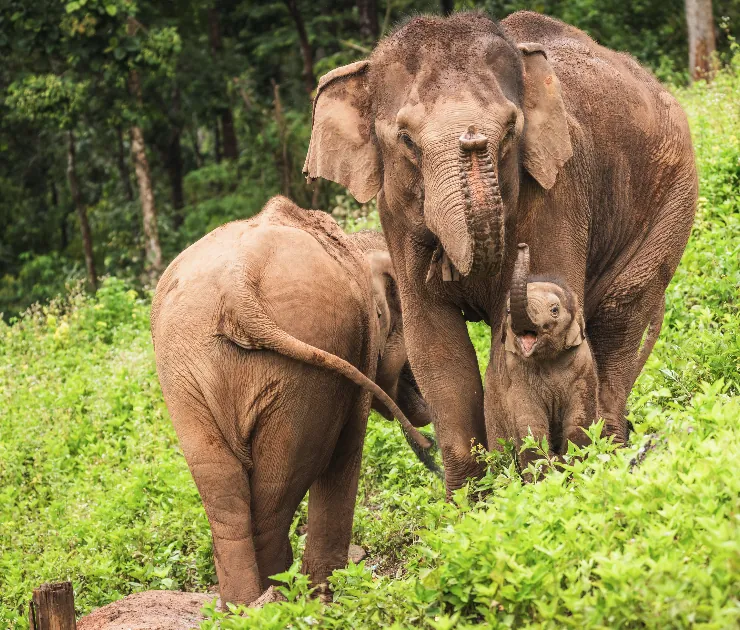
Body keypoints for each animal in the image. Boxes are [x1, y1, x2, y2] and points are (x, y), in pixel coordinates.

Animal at [150, 196, 436, 606]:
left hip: (183, 368)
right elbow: (347, 452)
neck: (355, 246)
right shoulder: (358, 350)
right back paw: (279, 600)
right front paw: (329, 598)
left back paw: (243, 608)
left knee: (221, 493)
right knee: (282, 487)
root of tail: (237, 287)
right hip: (307, 366)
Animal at [502, 244, 598, 470]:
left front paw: (571, 467)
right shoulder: (515, 374)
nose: (522, 245)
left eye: (554, 310)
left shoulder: (583, 366)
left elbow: (579, 421)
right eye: (508, 311)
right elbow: (530, 426)